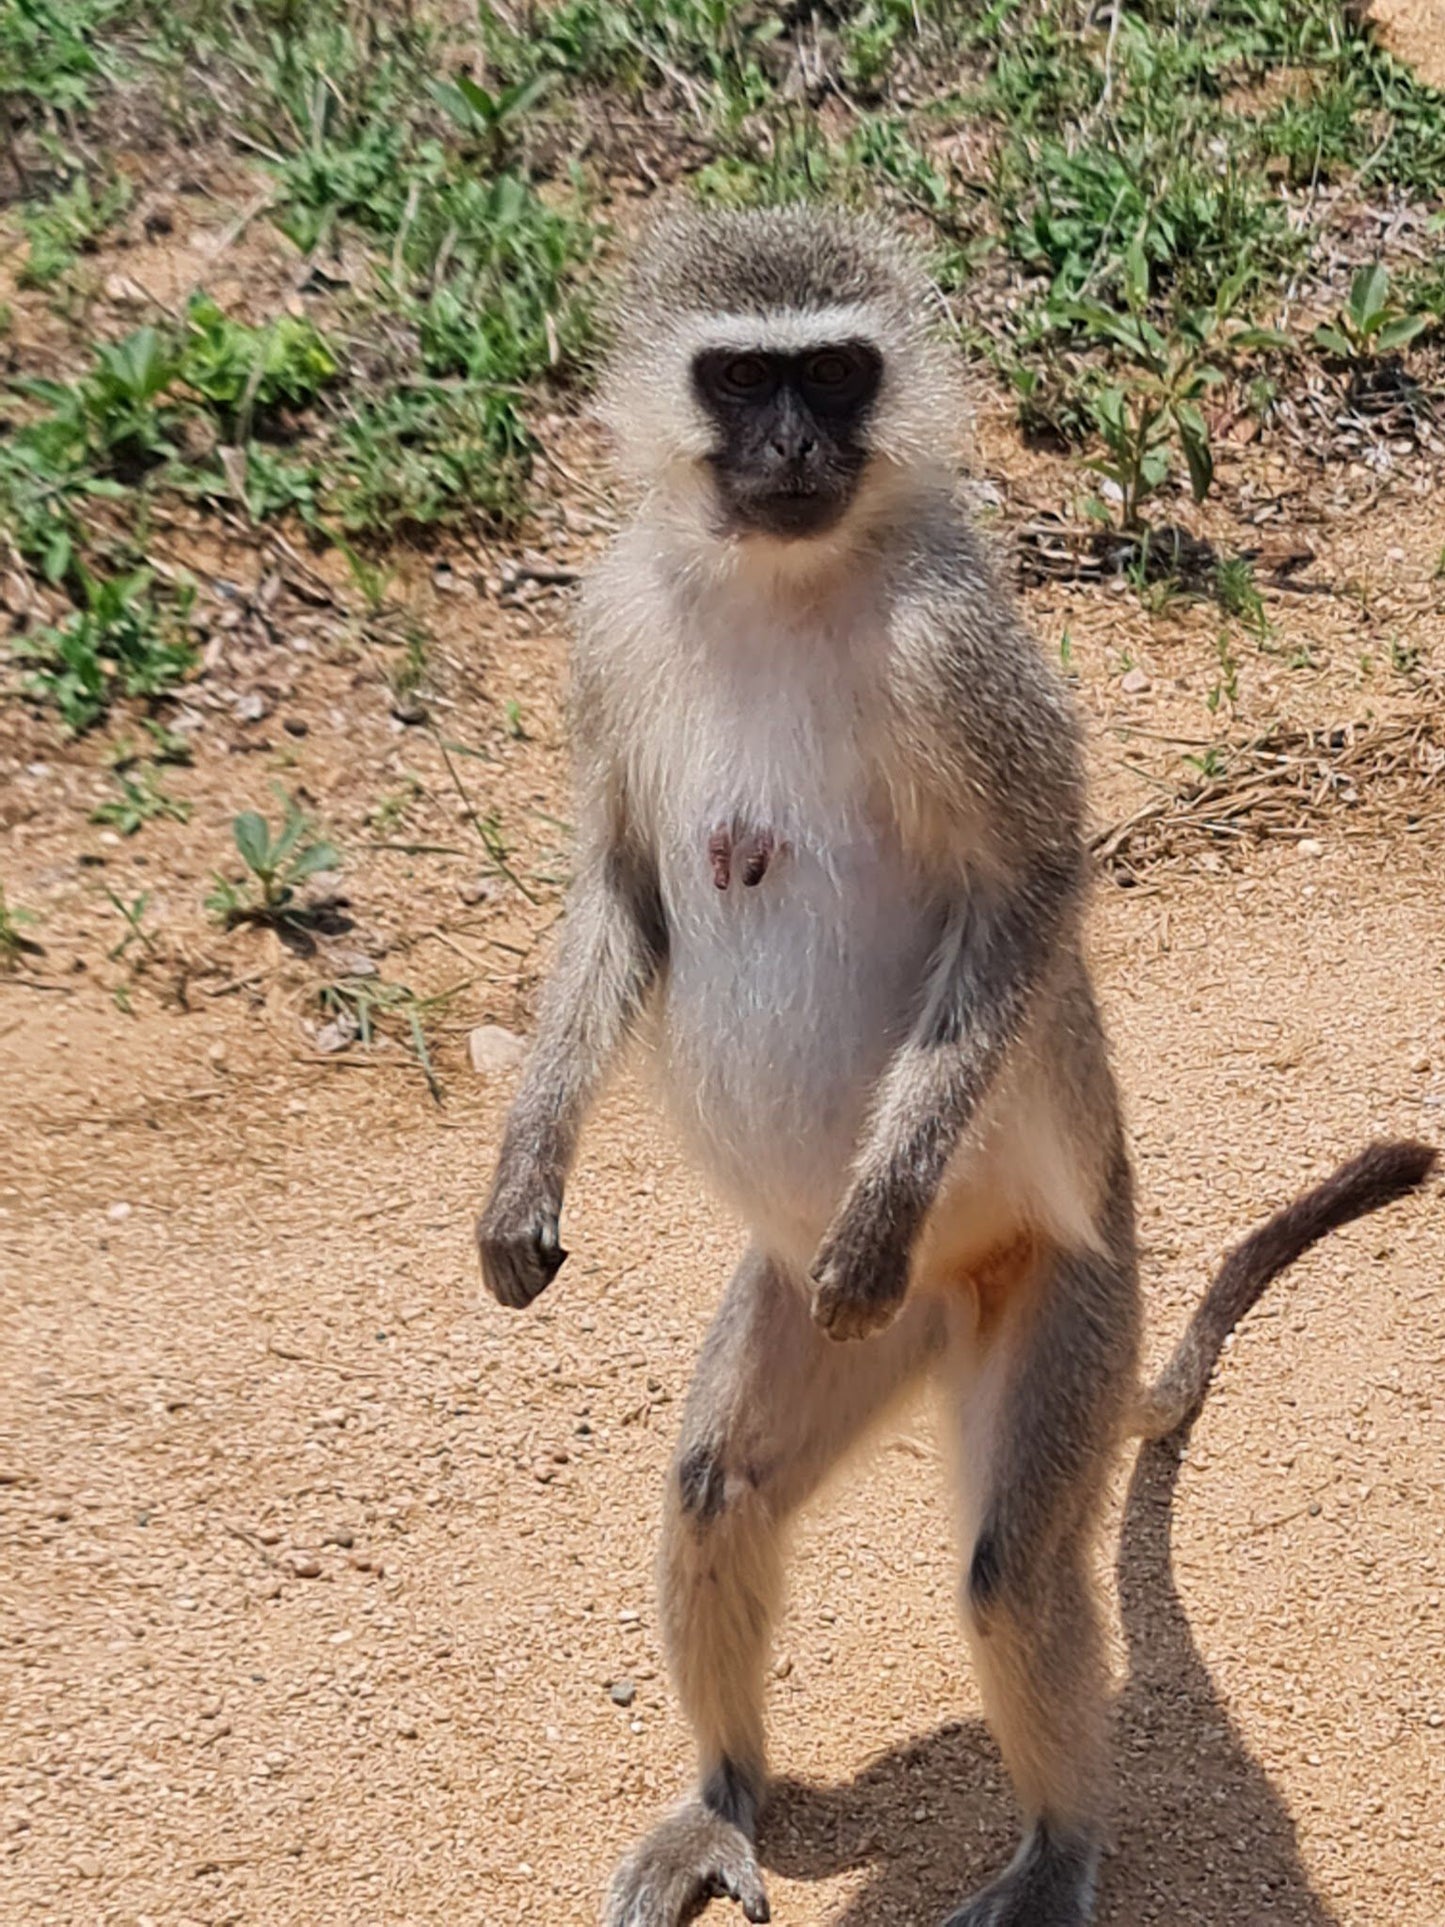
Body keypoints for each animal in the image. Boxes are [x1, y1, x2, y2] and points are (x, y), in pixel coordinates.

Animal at [481, 211, 1441, 1927]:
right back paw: (725, 1795)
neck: (783, 582)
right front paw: (525, 1172)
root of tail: (942, 1304)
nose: (796, 449)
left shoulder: (960, 653)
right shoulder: (607, 621)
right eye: (743, 379)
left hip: (1063, 1296)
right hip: (819, 1322)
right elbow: (623, 884)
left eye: (836, 374)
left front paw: (876, 1205)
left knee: (1013, 1565)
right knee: (718, 1483)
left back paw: (1054, 1852)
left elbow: (1030, 887)